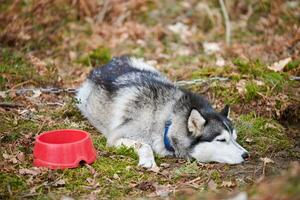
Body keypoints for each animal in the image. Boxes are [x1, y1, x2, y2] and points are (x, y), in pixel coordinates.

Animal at [76, 56, 250, 169]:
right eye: (221, 140)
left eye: (235, 138)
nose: (246, 155)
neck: (167, 120)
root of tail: (108, 63)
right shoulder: (116, 138)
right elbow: (145, 144)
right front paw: (148, 160)